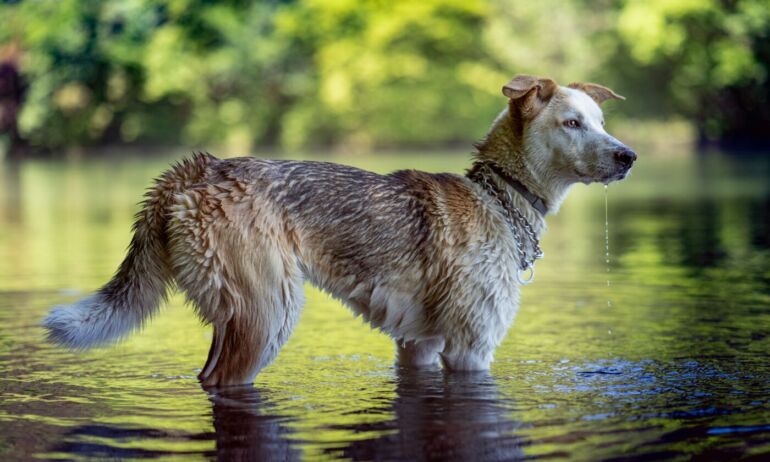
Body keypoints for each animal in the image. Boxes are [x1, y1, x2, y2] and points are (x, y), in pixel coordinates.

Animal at [42, 76, 632, 386]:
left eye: (601, 122)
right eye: (572, 123)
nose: (629, 156)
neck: (498, 194)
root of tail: (197, 169)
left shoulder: (419, 346)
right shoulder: (471, 349)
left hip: (239, 315)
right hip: (267, 314)